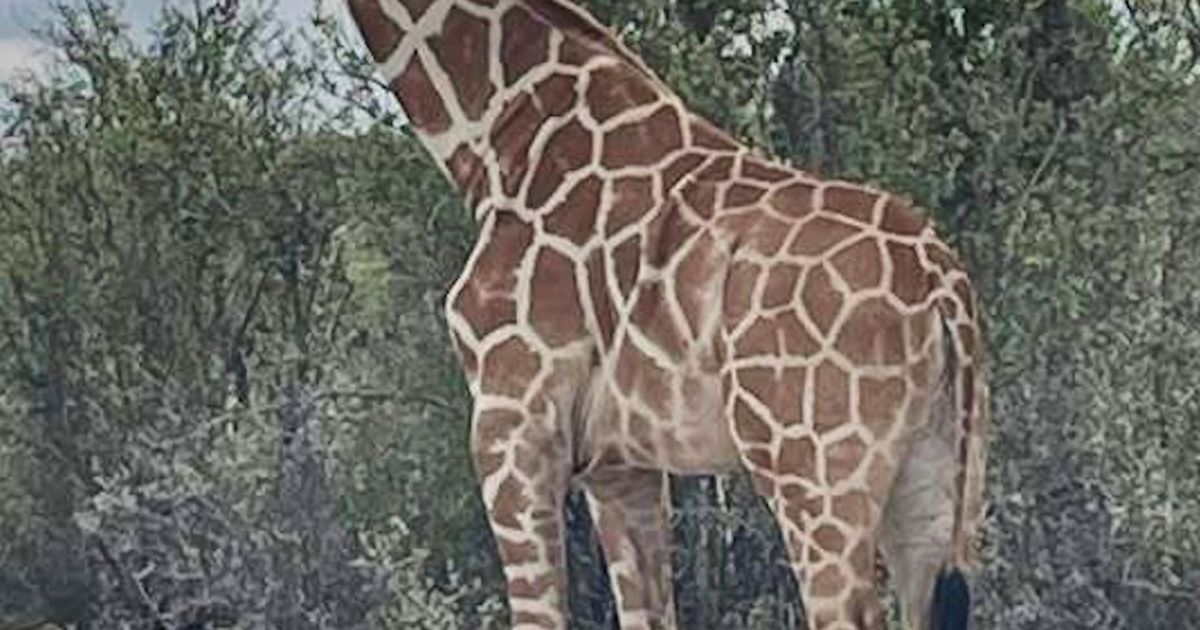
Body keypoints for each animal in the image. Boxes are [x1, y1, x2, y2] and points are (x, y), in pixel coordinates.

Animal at [343, 1, 989, 628]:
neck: (501, 136)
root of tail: (941, 282)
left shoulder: (512, 423)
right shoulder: (618, 464)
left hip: (816, 474)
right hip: (934, 479)